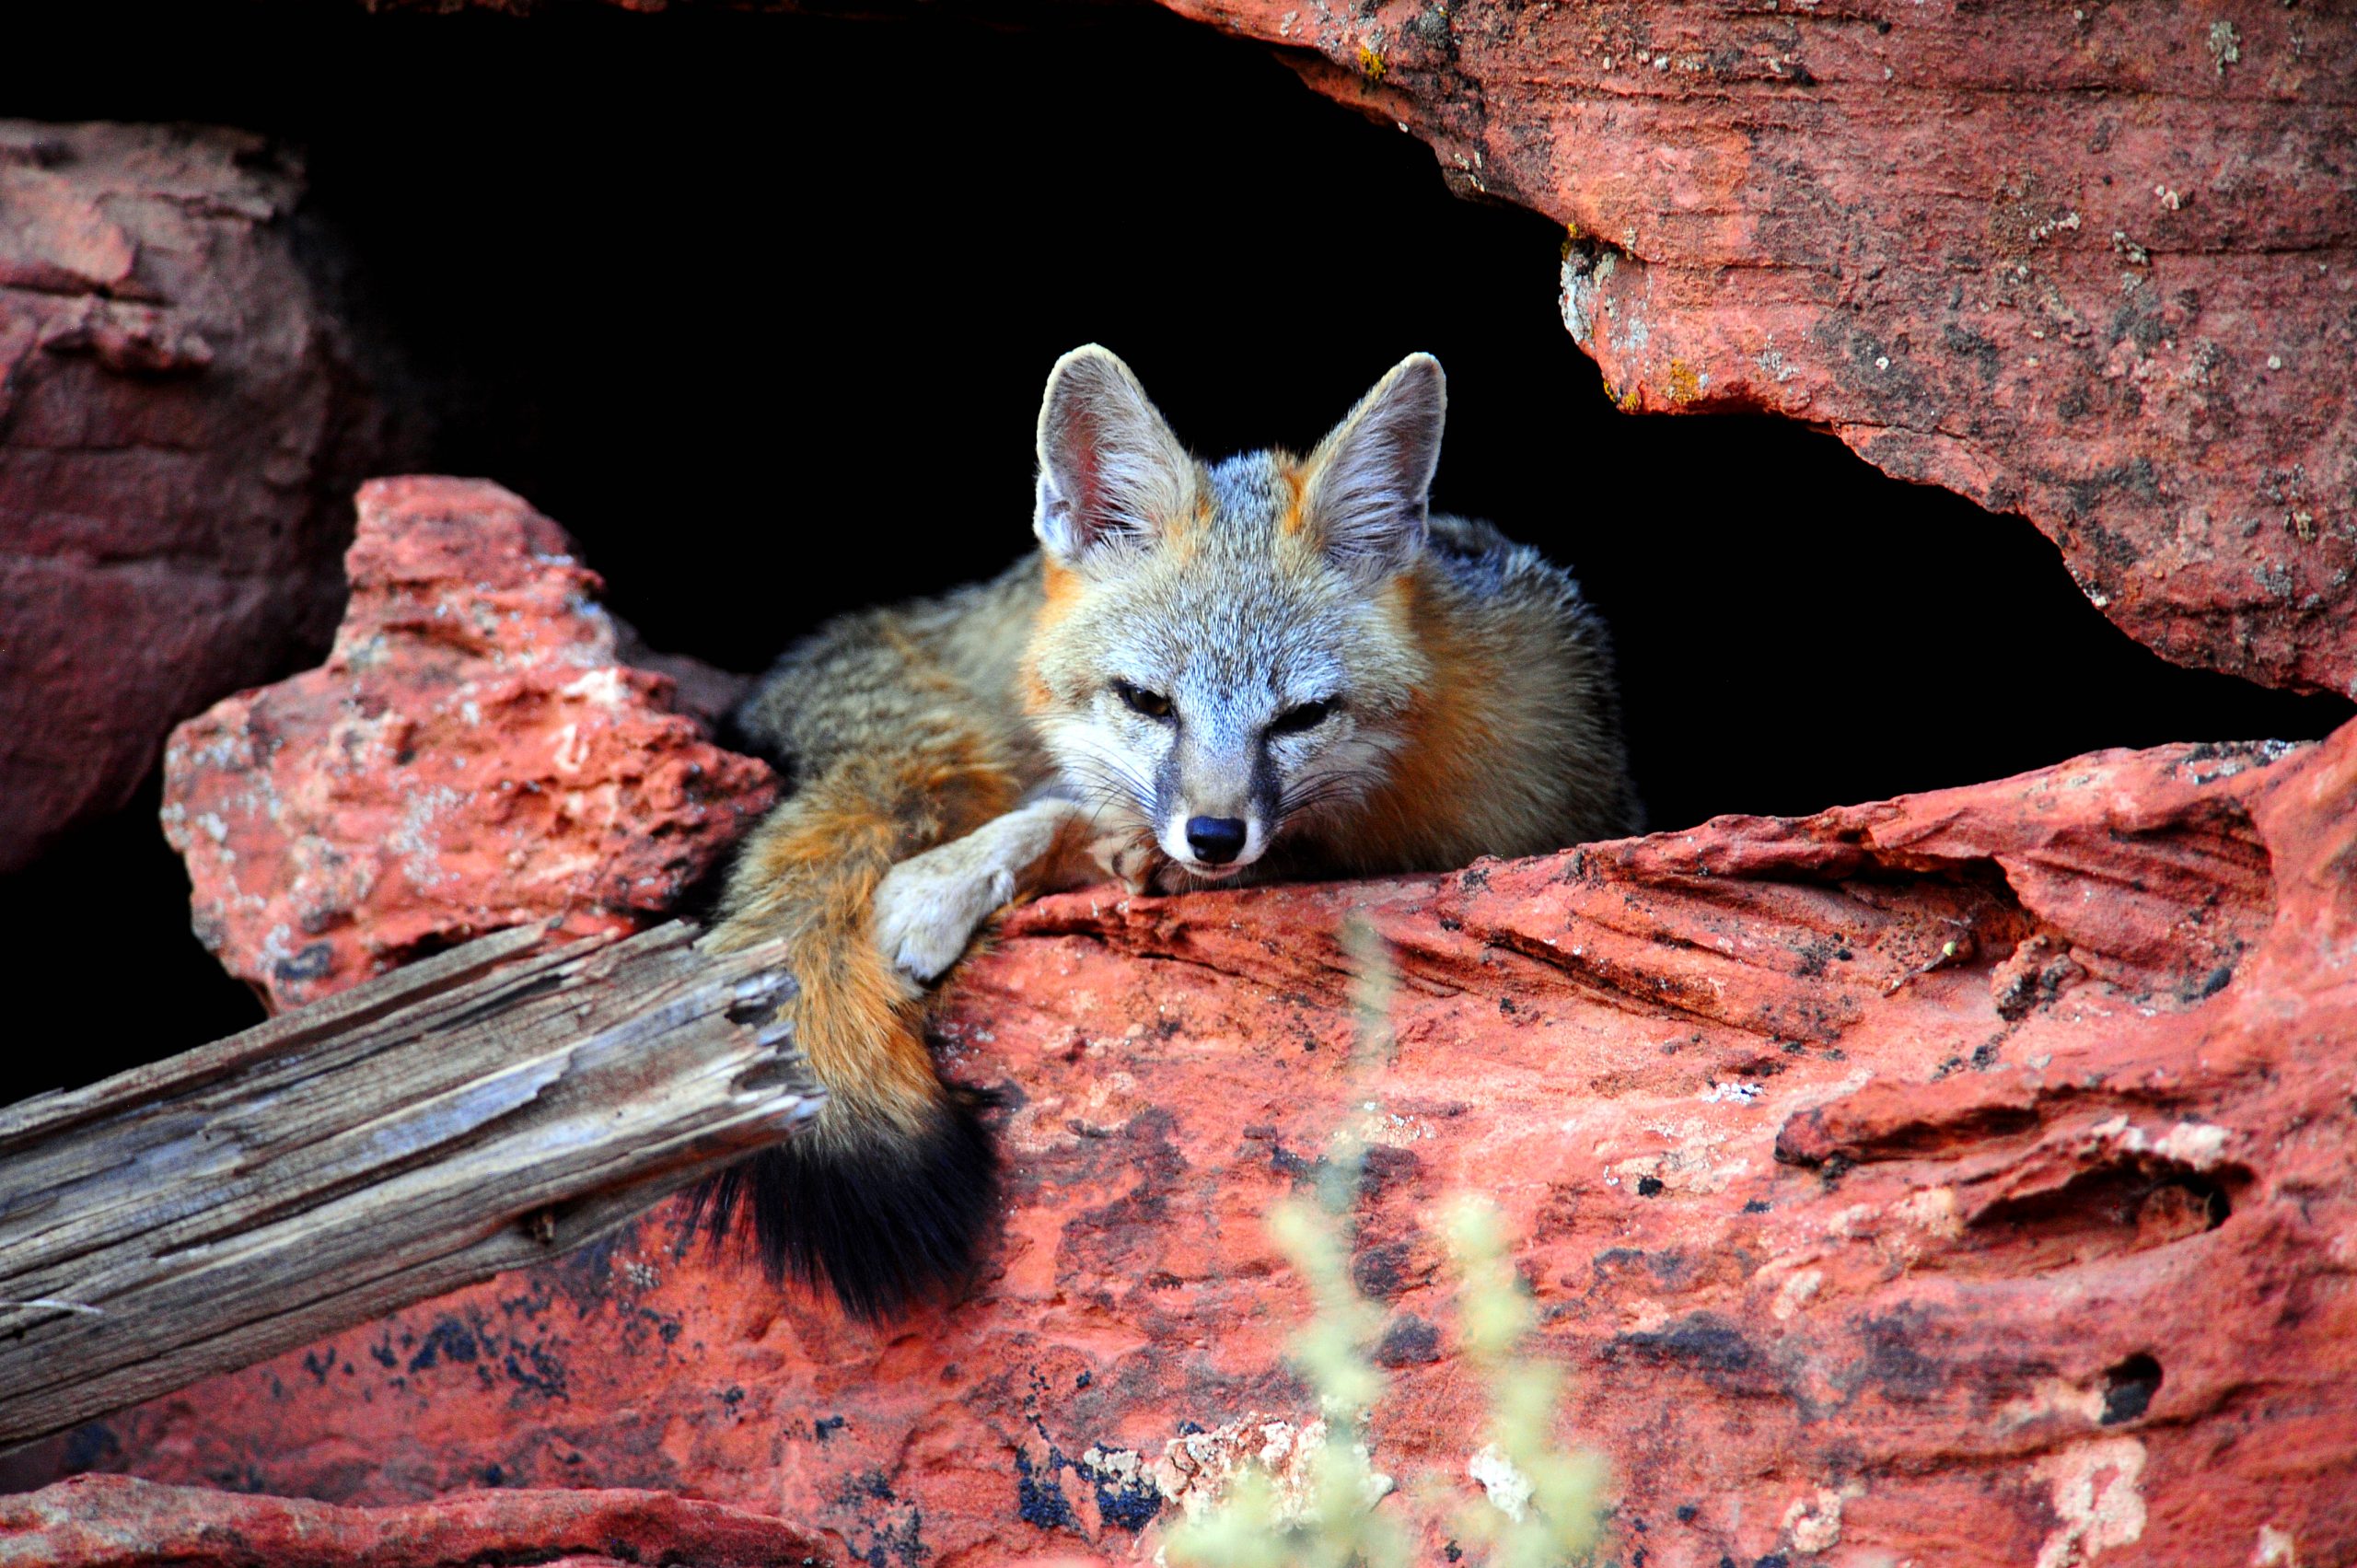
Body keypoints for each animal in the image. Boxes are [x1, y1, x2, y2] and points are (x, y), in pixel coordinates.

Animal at [688, 349, 1631, 1310]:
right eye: (1147, 701)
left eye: (1302, 716)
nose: (1213, 835)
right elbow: (1069, 803)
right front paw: (953, 876)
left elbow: (1097, 815)